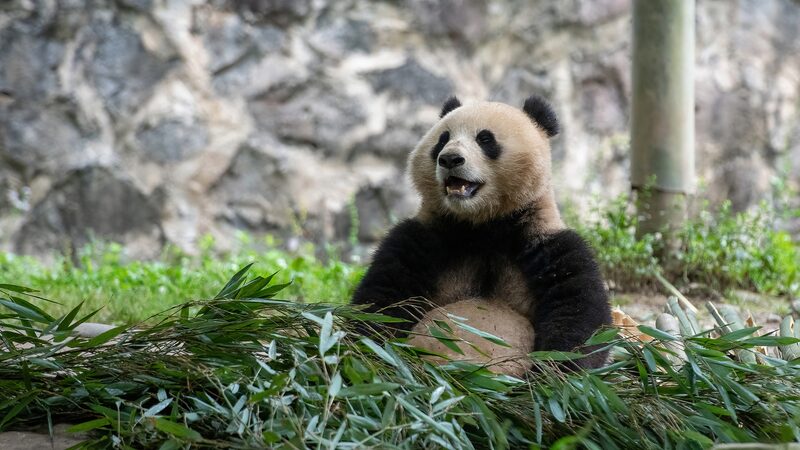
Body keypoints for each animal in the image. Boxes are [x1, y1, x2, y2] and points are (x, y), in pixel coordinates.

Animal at [351, 95, 611, 375]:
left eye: (485, 139)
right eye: (443, 138)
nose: (450, 159)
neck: (482, 223)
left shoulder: (546, 244)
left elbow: (578, 311)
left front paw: (551, 371)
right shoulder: (423, 238)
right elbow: (383, 298)